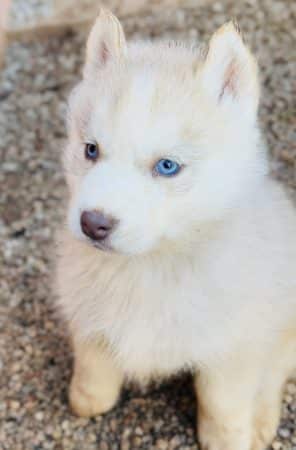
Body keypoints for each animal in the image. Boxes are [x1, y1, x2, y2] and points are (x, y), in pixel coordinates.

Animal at [56, 7, 296, 450]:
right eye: (91, 150)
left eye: (167, 166)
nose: (93, 223)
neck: (149, 267)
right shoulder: (86, 312)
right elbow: (94, 373)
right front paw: (85, 401)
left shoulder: (235, 346)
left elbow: (224, 403)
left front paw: (227, 439)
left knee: (274, 373)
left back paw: (262, 422)